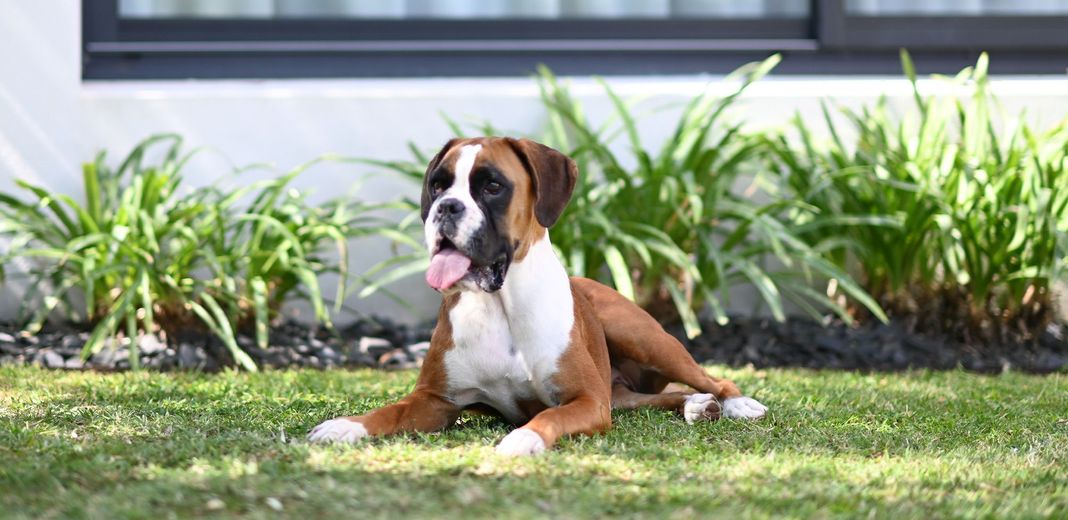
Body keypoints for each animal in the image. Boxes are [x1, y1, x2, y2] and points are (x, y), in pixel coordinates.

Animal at [309, 136, 768, 454]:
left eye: (492, 186)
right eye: (437, 186)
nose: (446, 207)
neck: (499, 305)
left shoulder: (587, 401)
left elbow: (549, 415)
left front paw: (523, 438)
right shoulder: (435, 402)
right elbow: (391, 410)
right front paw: (346, 425)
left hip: (642, 336)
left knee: (713, 377)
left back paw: (735, 404)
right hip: (618, 393)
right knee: (652, 397)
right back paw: (696, 405)